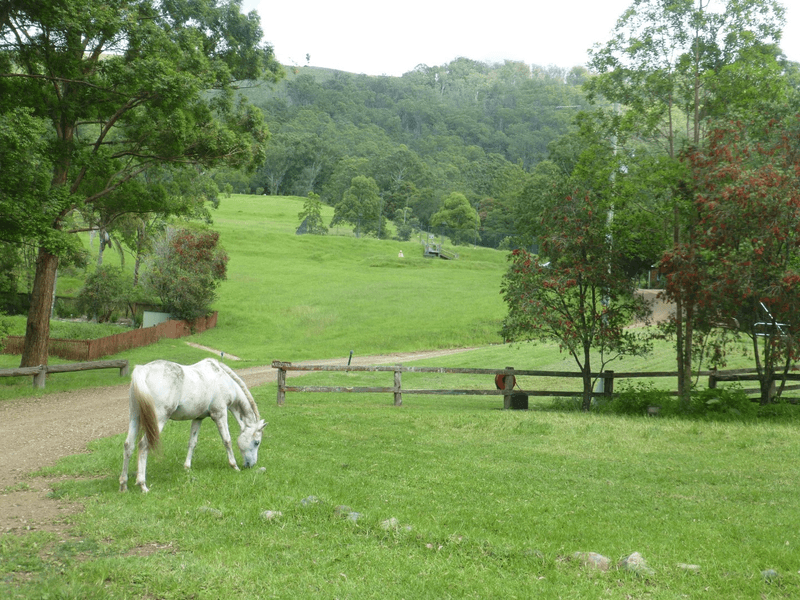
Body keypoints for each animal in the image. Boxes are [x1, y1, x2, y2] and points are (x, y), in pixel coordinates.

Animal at [119, 360, 268, 492]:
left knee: (128, 445)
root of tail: (143, 370)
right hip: (158, 420)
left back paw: (123, 485)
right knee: (143, 445)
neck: (223, 379)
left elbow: (192, 442)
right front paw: (234, 466)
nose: (251, 465)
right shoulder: (220, 414)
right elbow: (227, 440)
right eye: (257, 442)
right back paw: (142, 485)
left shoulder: (198, 418)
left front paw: (187, 467)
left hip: (135, 418)